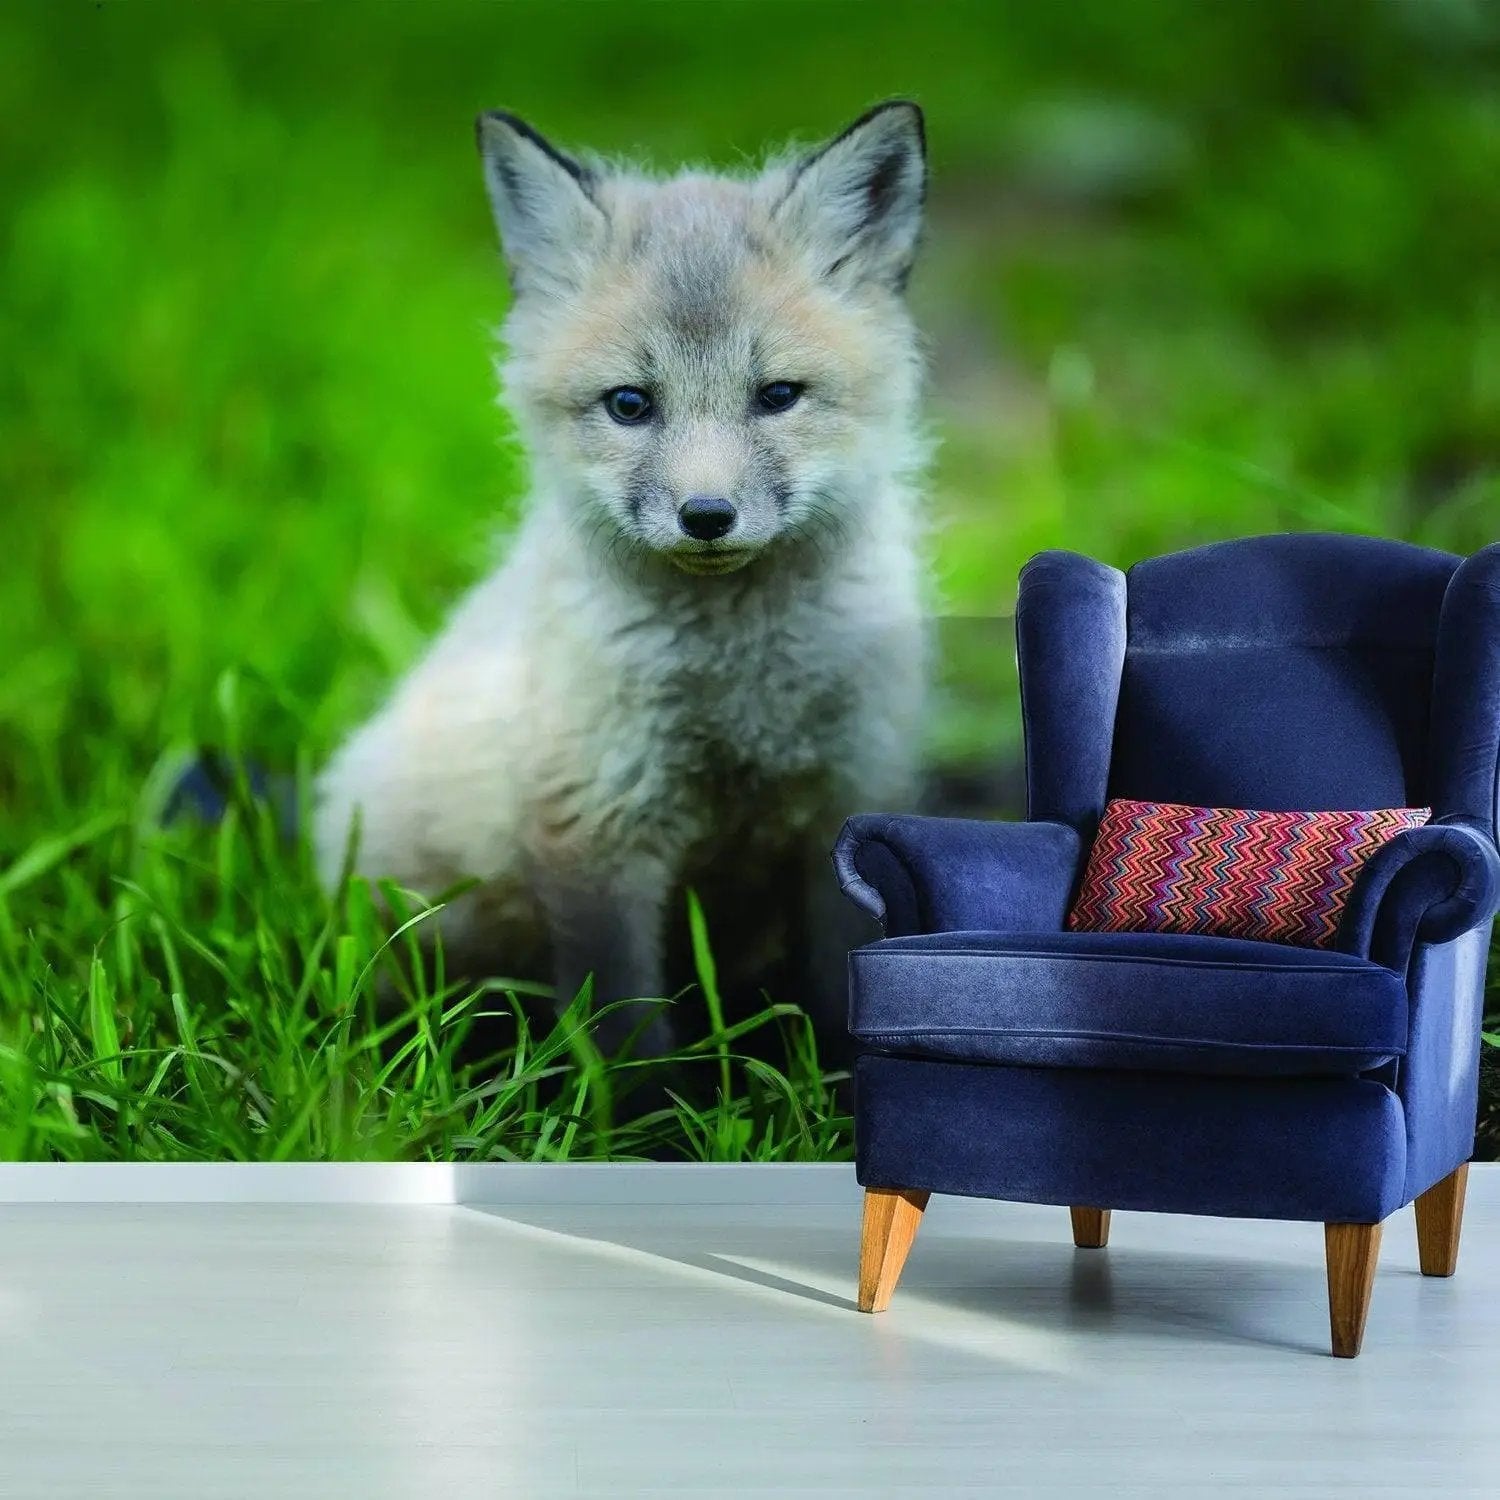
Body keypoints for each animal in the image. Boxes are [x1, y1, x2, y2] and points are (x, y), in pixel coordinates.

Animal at [313, 101, 932, 1060]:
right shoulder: (596, 824)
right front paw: (639, 1104)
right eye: (631, 405)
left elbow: (843, 989)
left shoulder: (850, 793)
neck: (738, 677)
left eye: (778, 396)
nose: (707, 515)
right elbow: (625, 1026)